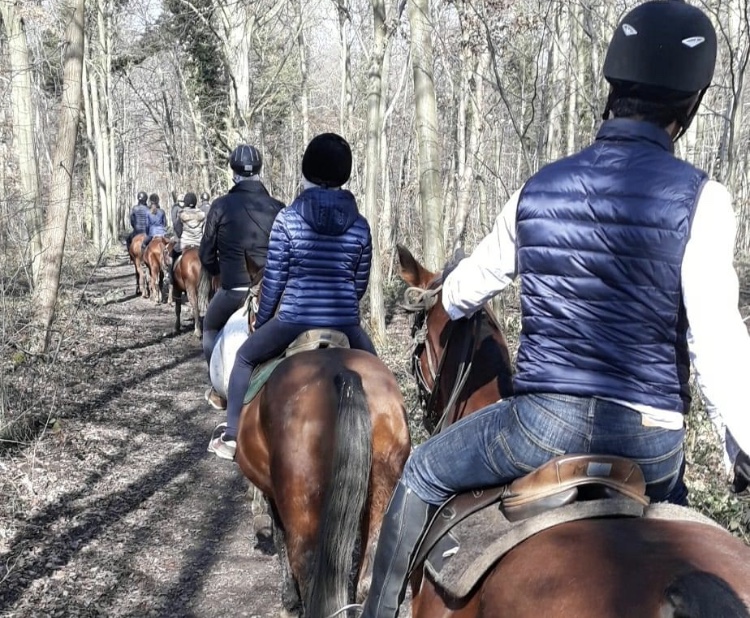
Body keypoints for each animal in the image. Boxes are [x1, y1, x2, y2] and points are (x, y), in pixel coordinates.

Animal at [231, 258, 414, 612]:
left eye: (251, 299)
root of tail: (345, 372)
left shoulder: (273, 494)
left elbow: (279, 538)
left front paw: (288, 599)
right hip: (383, 488)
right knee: (367, 576)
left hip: (302, 509)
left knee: (305, 564)